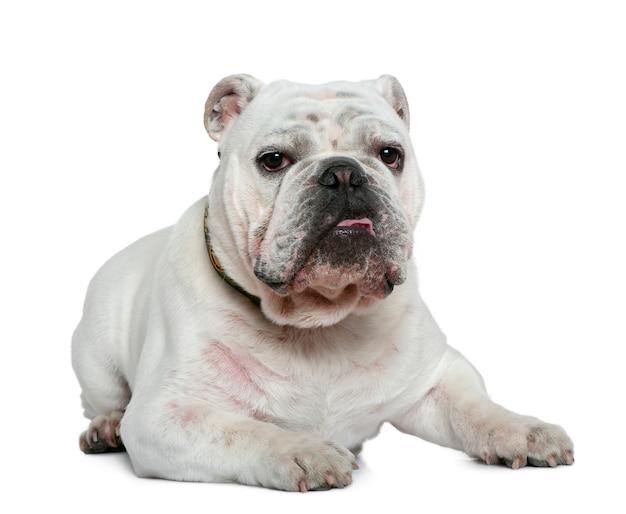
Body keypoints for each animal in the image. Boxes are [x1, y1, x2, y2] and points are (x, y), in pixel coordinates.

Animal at [72, 75, 572, 488]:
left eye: (390, 155)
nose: (345, 172)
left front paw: (524, 429)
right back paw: (105, 428)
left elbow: (475, 409)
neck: (320, 318)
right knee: (102, 399)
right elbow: (243, 431)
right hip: (95, 357)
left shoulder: (435, 379)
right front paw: (303, 451)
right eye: (273, 160)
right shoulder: (164, 416)